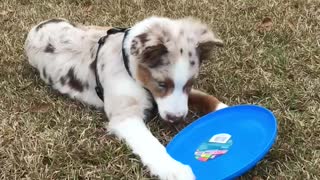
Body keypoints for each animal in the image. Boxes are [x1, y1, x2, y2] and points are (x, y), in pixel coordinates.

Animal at [25, 16, 229, 180]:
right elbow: (151, 144)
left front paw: (225, 109)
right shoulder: (126, 117)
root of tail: (35, 27)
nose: (176, 119)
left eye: (190, 83)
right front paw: (175, 169)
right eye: (161, 84)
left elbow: (204, 97)